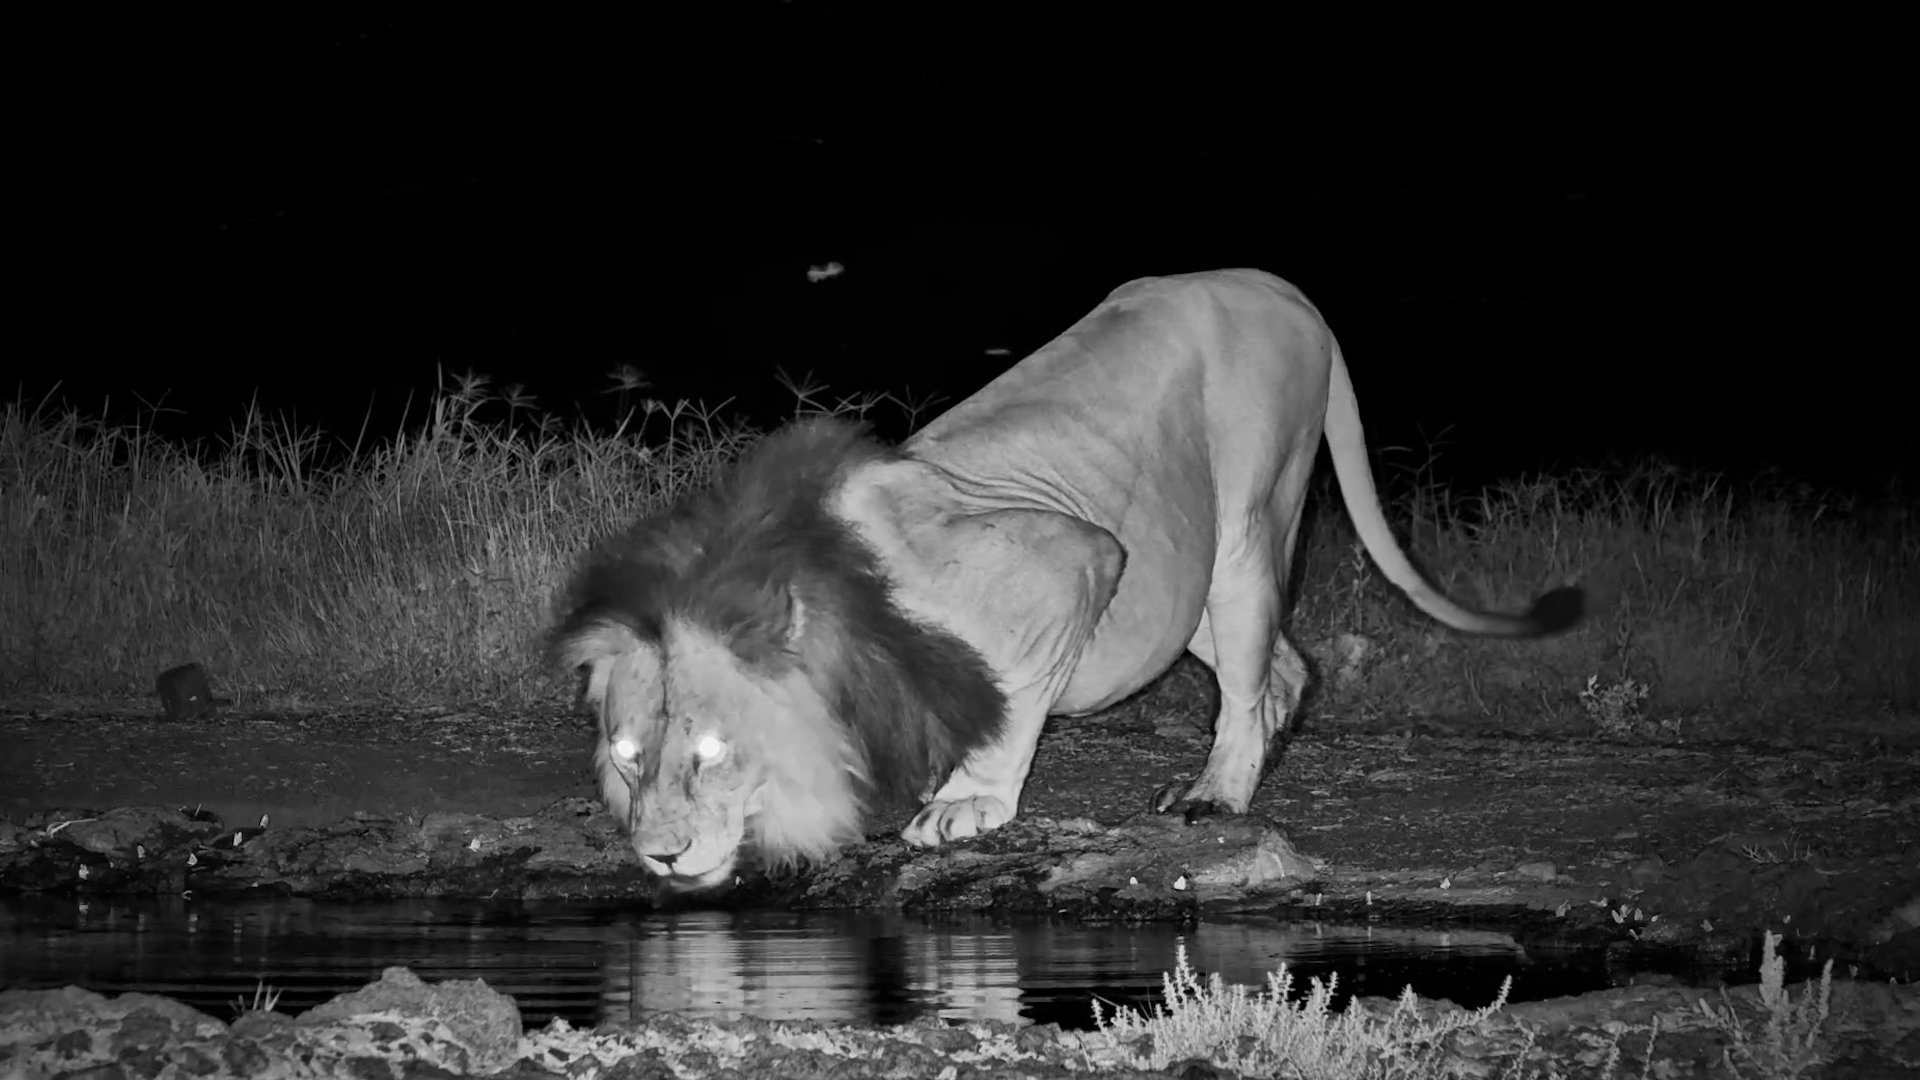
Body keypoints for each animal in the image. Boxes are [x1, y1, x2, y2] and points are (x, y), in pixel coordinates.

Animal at [554, 268, 1582, 889]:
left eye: (713, 752)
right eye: (628, 756)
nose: (659, 857)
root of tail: (1274, 285)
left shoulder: (1076, 558)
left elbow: (1009, 699)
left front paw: (966, 802)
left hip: (1246, 529)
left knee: (1250, 676)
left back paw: (1216, 794)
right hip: (1179, 579)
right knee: (1282, 670)